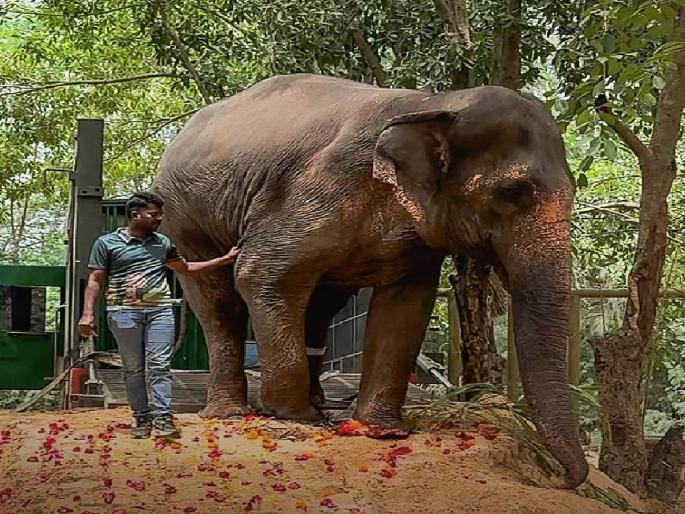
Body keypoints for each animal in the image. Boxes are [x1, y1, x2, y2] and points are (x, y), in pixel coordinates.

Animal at [153, 73, 588, 488]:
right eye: (511, 192)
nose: (554, 476)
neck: (435, 102)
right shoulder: (319, 189)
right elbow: (262, 272)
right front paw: (292, 416)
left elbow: (406, 305)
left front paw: (381, 430)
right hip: (184, 219)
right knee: (220, 302)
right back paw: (233, 412)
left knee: (319, 306)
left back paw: (315, 400)